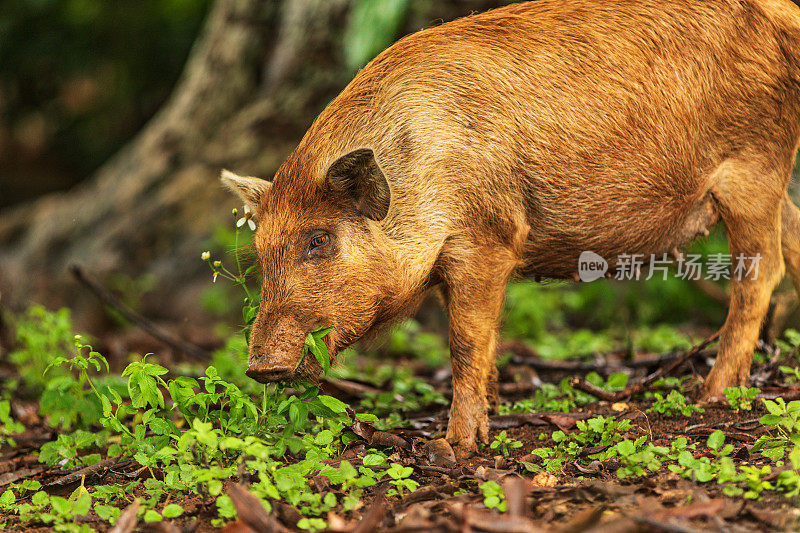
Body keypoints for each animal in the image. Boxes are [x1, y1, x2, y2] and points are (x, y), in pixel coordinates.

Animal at [222, 1, 800, 458]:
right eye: (260, 250)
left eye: (319, 240)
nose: (259, 366)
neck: (418, 172)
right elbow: (485, 337)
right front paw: (491, 411)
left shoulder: (486, 240)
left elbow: (464, 339)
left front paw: (455, 446)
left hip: (752, 168)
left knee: (761, 272)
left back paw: (712, 395)